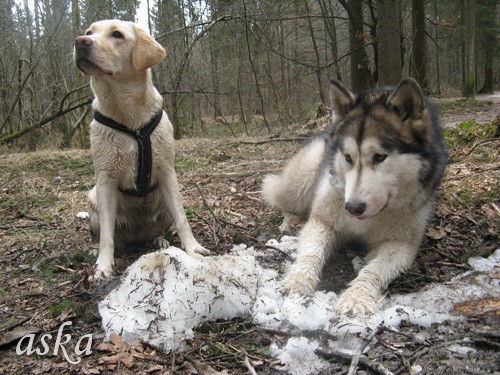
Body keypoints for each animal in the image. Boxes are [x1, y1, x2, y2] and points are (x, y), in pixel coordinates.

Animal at [73, 19, 208, 280]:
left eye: (117, 35)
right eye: (89, 32)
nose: (80, 42)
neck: (128, 116)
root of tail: (136, 236)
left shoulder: (167, 172)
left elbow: (182, 218)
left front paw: (193, 248)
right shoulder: (105, 179)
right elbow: (106, 236)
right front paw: (102, 266)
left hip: (163, 202)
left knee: (159, 228)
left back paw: (159, 240)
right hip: (92, 198)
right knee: (102, 235)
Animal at [264, 78, 448, 316]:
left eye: (379, 157)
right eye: (348, 157)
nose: (352, 208)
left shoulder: (402, 245)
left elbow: (375, 269)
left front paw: (357, 296)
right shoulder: (322, 221)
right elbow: (311, 252)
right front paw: (299, 279)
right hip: (302, 178)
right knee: (280, 196)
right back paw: (290, 220)